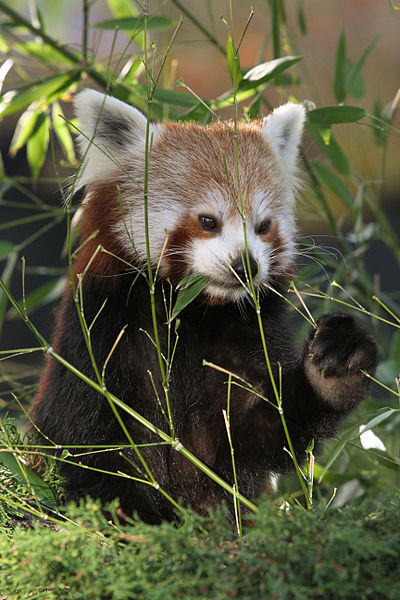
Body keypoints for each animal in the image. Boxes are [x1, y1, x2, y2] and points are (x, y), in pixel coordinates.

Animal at [31, 90, 378, 524]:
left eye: (263, 226)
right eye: (209, 221)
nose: (246, 265)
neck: (194, 313)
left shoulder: (243, 341)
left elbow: (255, 435)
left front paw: (336, 366)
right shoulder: (101, 334)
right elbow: (91, 444)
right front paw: (131, 518)